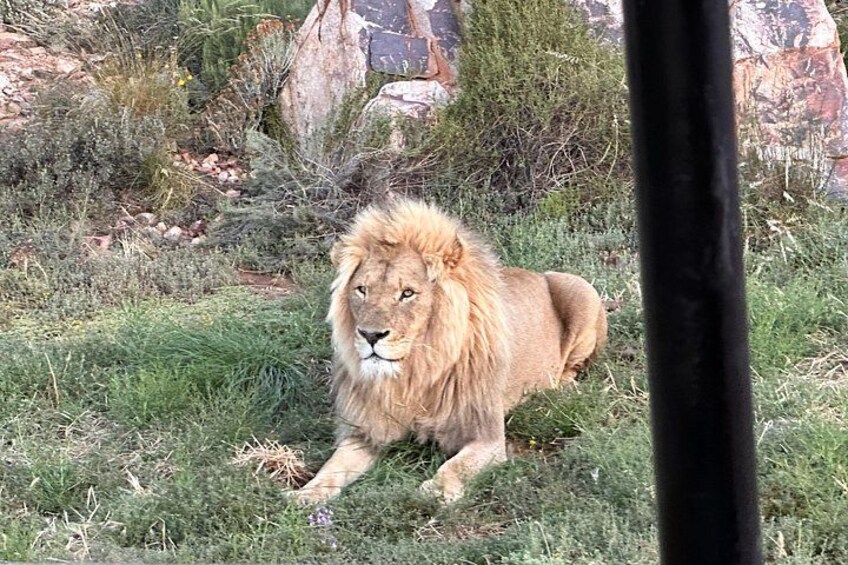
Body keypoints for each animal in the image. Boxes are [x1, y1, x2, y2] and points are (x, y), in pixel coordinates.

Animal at [294, 200, 607, 504]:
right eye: (362, 290)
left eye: (407, 293)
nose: (370, 335)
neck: (414, 373)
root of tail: (538, 273)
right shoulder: (366, 431)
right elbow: (333, 466)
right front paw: (306, 494)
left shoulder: (486, 436)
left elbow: (457, 466)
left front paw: (436, 491)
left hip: (579, 289)